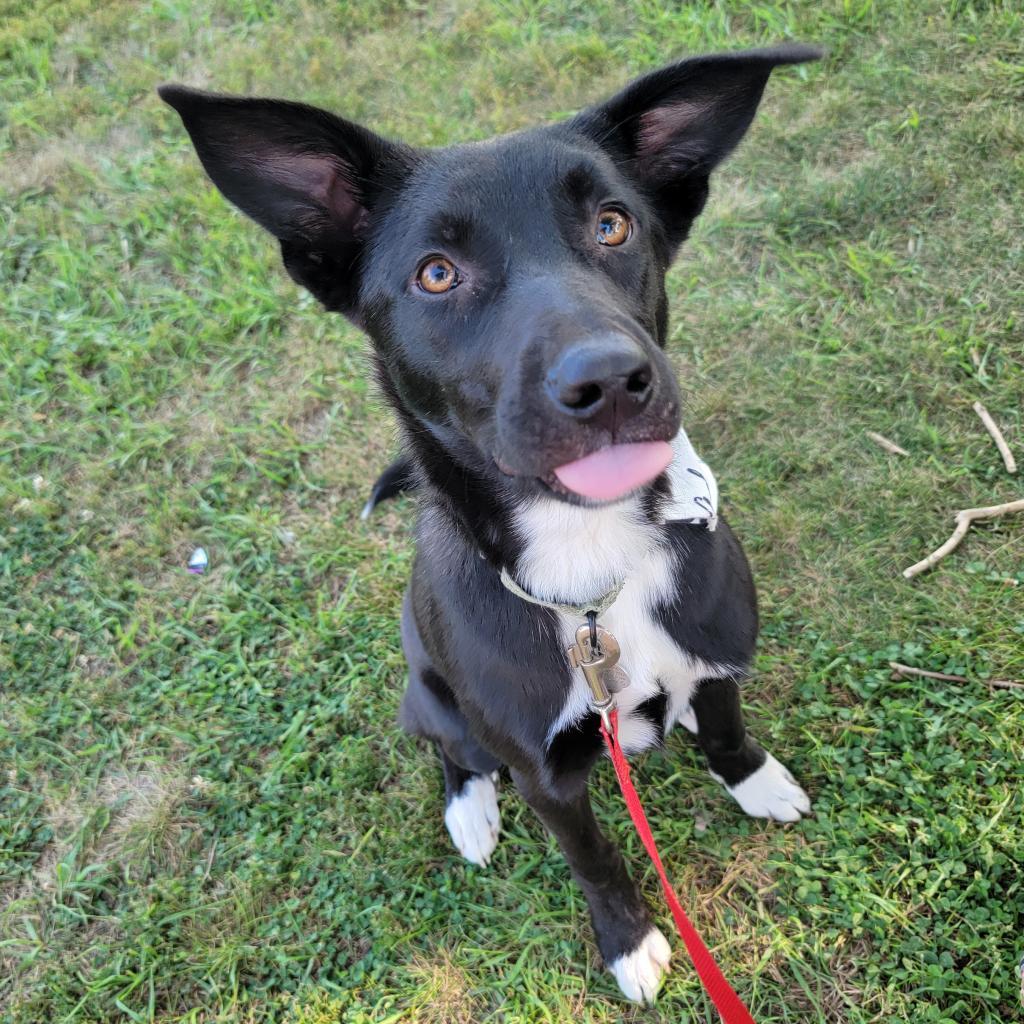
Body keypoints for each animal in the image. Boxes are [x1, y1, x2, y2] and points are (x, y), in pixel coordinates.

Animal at [157, 44, 815, 1003]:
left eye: (613, 224)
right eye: (436, 273)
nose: (609, 381)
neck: (588, 580)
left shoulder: (718, 649)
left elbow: (728, 722)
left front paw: (753, 779)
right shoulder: (546, 775)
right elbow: (594, 857)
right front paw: (628, 941)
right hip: (431, 695)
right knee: (451, 750)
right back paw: (469, 811)